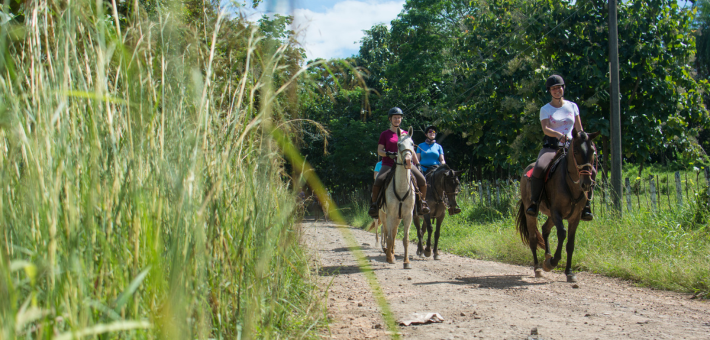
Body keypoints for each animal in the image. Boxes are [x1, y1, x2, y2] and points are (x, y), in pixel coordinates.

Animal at [378, 127, 418, 268]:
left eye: (412, 144)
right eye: (399, 145)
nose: (408, 161)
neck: (401, 188)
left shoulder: (407, 215)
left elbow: (405, 239)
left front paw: (406, 262)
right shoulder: (390, 214)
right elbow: (389, 237)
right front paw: (390, 258)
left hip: (397, 218)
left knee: (394, 233)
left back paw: (392, 252)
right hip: (384, 215)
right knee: (387, 232)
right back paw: (389, 253)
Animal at [516, 129, 600, 282]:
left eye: (592, 151)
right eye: (576, 151)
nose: (586, 183)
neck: (571, 183)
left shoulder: (574, 217)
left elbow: (570, 243)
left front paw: (569, 272)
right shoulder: (557, 212)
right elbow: (562, 233)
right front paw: (552, 263)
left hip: (551, 215)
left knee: (545, 229)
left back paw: (547, 255)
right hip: (531, 213)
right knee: (533, 239)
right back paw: (538, 268)